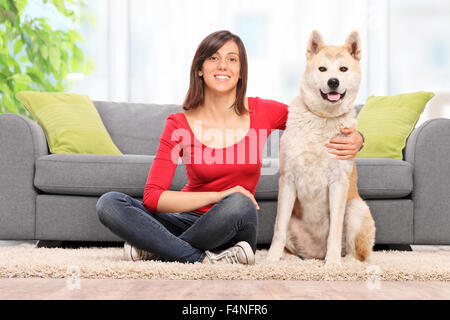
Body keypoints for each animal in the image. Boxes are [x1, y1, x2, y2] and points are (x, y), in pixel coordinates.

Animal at [268, 30, 376, 264]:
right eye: (322, 69)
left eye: (343, 69)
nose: (333, 81)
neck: (322, 118)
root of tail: (315, 255)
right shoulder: (288, 180)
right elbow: (278, 228)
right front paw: (270, 259)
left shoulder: (338, 183)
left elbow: (334, 230)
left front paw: (333, 263)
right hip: (293, 221)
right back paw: (291, 259)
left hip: (355, 209)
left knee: (357, 253)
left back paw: (345, 261)